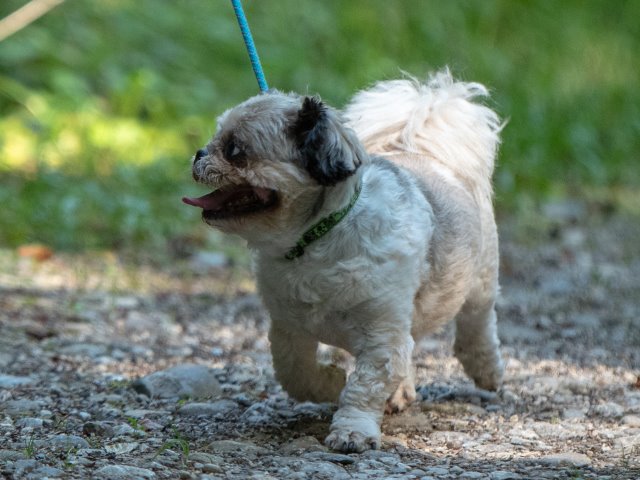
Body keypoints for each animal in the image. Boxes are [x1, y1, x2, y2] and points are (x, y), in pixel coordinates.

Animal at [182, 70, 504, 453]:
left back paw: (487, 370)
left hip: (480, 282)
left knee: (476, 326)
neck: (315, 239)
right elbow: (295, 373)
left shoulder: (381, 335)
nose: (198, 153)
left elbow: (364, 386)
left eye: (235, 150)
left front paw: (353, 431)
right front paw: (331, 383)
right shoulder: (290, 327)